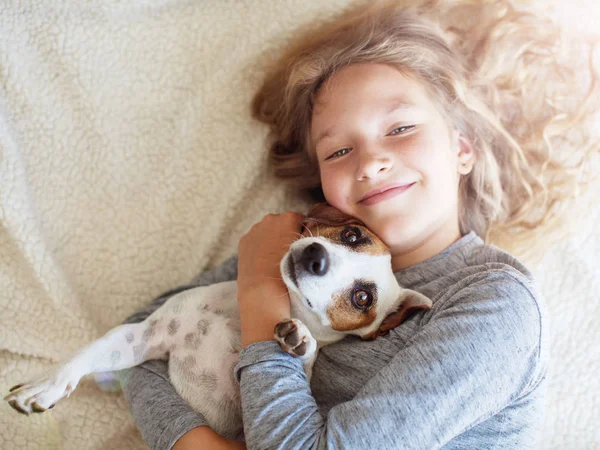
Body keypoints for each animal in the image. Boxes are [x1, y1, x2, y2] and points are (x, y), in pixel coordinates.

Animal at [4, 204, 432, 440]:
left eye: (363, 298)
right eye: (352, 234)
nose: (315, 255)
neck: (235, 315)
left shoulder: (240, 425)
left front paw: (302, 343)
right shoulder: (142, 335)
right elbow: (85, 355)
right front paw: (45, 385)